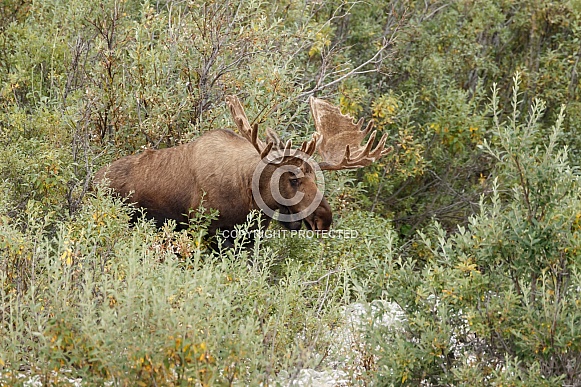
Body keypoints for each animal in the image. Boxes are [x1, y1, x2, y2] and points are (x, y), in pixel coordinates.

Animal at [95, 97, 392, 247]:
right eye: (293, 179)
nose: (325, 219)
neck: (248, 195)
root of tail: (92, 181)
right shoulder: (207, 230)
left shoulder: (250, 237)